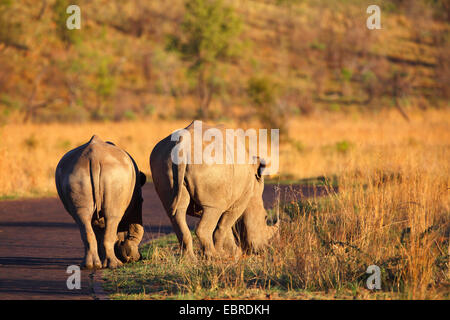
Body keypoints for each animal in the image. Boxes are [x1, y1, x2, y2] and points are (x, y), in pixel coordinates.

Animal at [54, 134, 146, 268]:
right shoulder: (137, 202)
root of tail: (94, 158)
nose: (132, 258)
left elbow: (98, 232)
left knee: (82, 218)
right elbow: (136, 228)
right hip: (115, 175)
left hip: (74, 175)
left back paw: (90, 265)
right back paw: (115, 265)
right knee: (112, 217)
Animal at [150, 121, 278, 258]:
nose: (263, 250)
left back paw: (189, 259)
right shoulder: (239, 201)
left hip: (163, 161)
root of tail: (183, 145)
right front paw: (226, 254)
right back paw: (213, 256)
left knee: (176, 211)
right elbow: (224, 226)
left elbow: (224, 226)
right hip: (210, 162)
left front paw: (233, 252)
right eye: (265, 217)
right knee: (210, 211)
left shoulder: (225, 199)